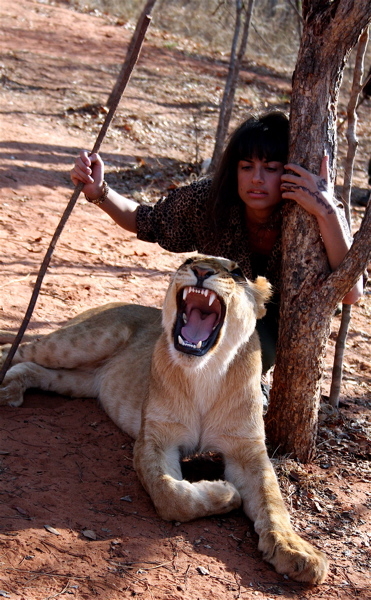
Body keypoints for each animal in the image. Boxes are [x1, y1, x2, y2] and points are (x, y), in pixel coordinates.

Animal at [0, 255, 328, 584]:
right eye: (189, 259)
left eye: (237, 272)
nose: (201, 270)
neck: (205, 371)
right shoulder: (156, 437)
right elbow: (170, 494)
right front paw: (226, 494)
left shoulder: (247, 450)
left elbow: (272, 501)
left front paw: (295, 550)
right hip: (77, 344)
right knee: (15, 350)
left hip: (80, 380)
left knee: (33, 368)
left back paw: (11, 389)